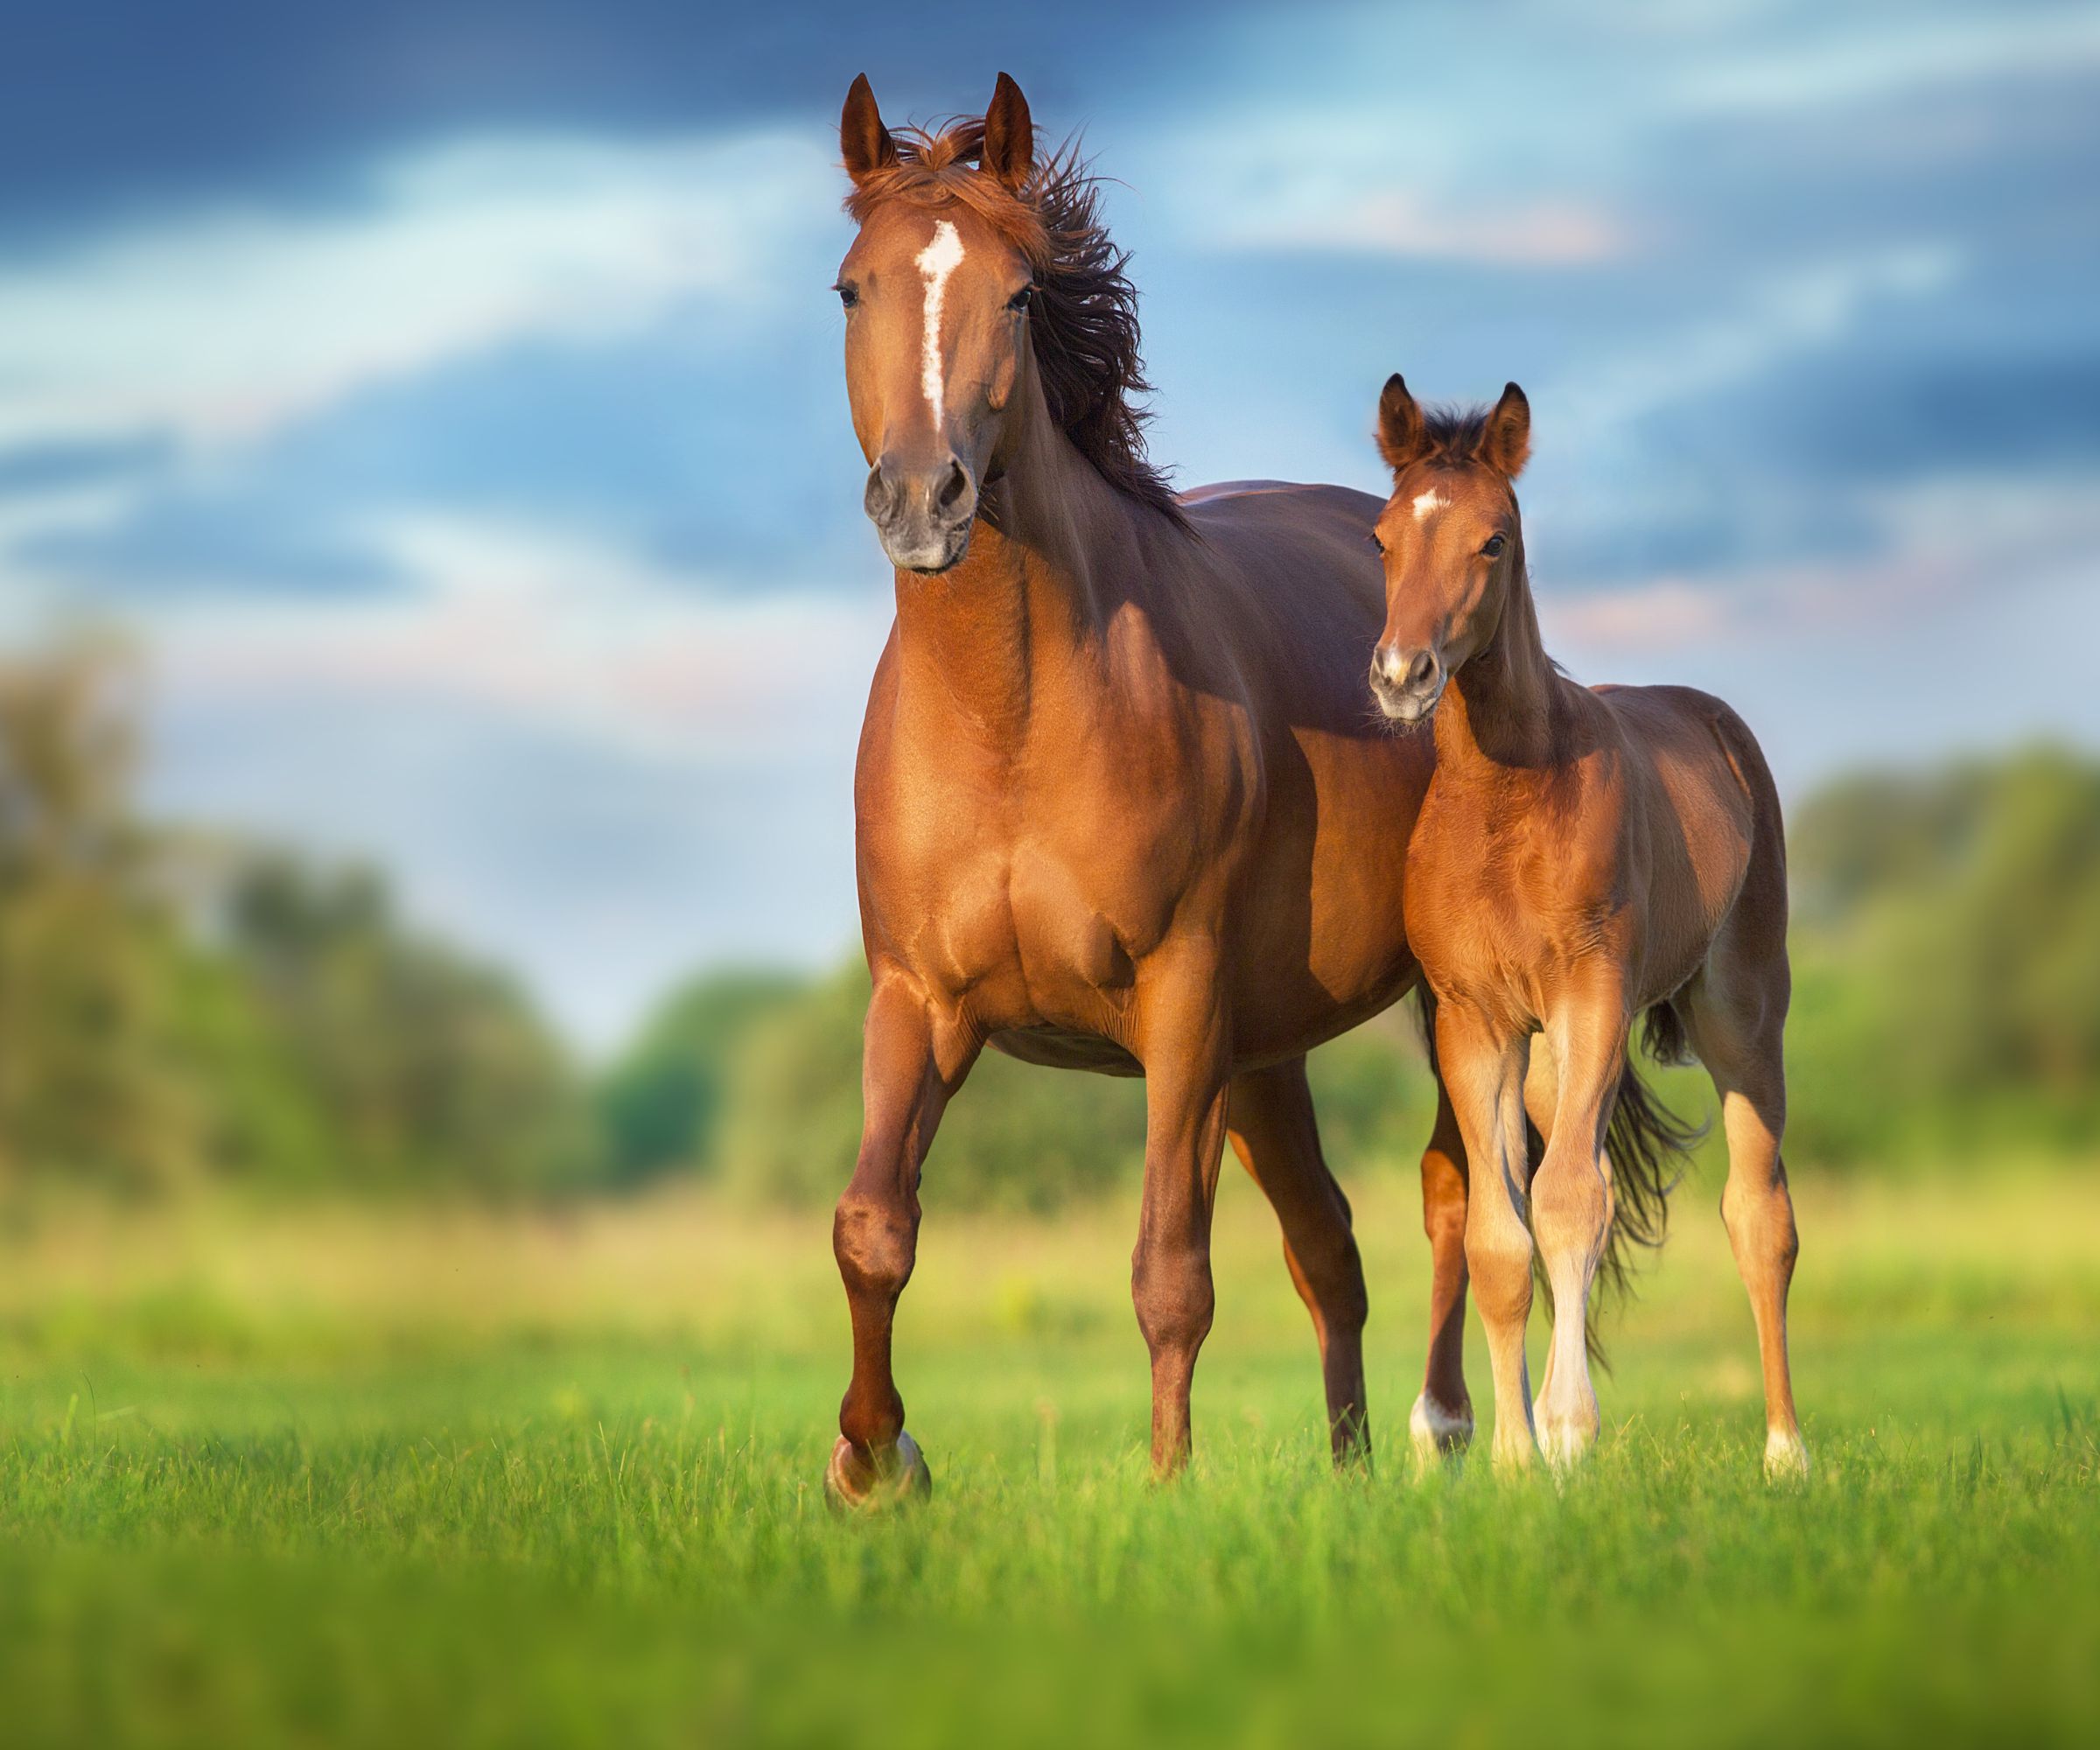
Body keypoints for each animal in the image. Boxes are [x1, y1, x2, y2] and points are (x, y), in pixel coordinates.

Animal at [825, 71, 1482, 1504]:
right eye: (852, 289)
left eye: (1020, 294)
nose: (923, 499)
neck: (1011, 721)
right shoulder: (919, 1000)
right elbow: (874, 1227)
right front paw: (874, 1460)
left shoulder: (1180, 1004)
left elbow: (1169, 1272)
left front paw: (1167, 1488)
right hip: (1268, 1054)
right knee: (1331, 1249)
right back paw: (1350, 1470)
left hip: (1430, 1007)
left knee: (1464, 1192)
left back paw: (1449, 1429)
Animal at [1364, 373, 1807, 1476]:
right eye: (1383, 537)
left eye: (1492, 540)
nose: (1401, 674)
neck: (1503, 799)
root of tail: (1717, 724)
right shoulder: (1475, 1023)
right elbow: (1500, 1234)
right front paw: (1516, 1457)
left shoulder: (1591, 995)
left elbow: (1568, 1201)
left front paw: (1567, 1434)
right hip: (1557, 1060)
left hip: (1738, 1017)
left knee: (1759, 1216)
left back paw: (1787, 1452)